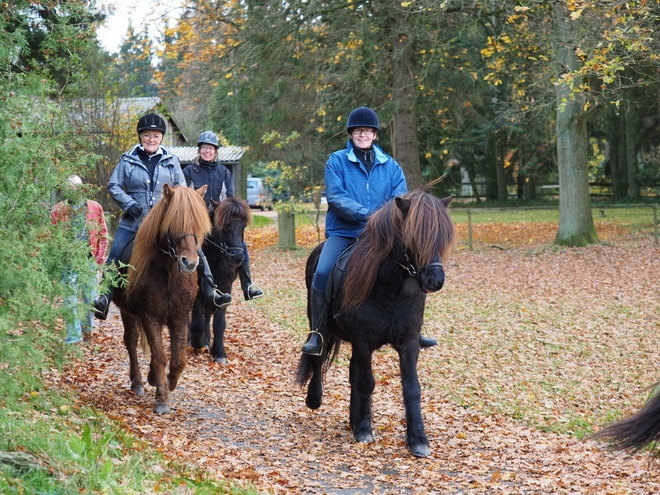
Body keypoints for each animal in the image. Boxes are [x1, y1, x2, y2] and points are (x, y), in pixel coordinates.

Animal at [113, 184, 210, 412]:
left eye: (198, 224)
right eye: (173, 224)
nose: (189, 263)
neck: (168, 274)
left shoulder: (180, 317)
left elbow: (178, 359)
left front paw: (168, 383)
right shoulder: (150, 316)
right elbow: (159, 356)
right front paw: (162, 399)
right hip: (127, 312)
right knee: (131, 341)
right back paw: (138, 382)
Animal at [191, 198, 255, 364]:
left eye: (243, 226)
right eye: (226, 226)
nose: (237, 257)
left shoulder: (225, 287)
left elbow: (219, 322)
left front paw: (219, 352)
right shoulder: (198, 287)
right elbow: (197, 319)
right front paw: (196, 341)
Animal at [296, 188, 456, 460]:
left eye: (441, 237)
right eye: (413, 236)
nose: (435, 280)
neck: (392, 287)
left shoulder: (408, 343)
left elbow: (411, 388)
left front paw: (418, 439)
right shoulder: (363, 342)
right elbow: (367, 383)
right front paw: (364, 429)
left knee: (352, 372)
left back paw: (353, 418)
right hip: (322, 327)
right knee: (318, 356)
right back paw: (315, 400)